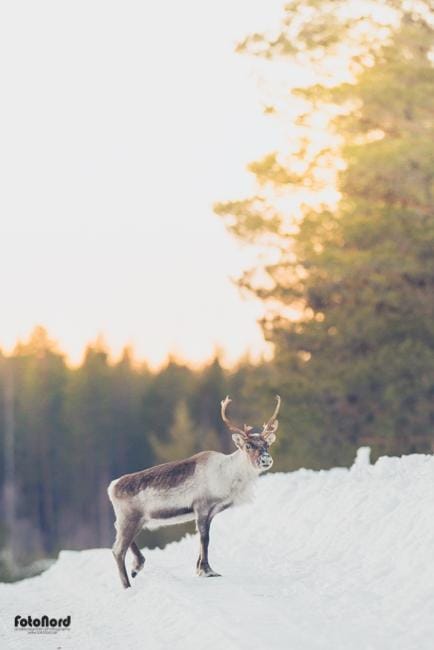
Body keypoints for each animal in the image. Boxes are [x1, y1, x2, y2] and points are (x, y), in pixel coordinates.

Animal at [107, 394, 281, 588]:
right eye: (248, 445)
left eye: (267, 444)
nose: (266, 459)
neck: (228, 476)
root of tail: (112, 486)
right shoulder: (202, 506)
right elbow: (205, 538)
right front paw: (208, 571)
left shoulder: (211, 511)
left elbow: (202, 539)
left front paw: (199, 569)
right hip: (130, 518)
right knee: (117, 550)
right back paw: (127, 584)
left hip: (135, 520)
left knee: (117, 533)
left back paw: (137, 566)